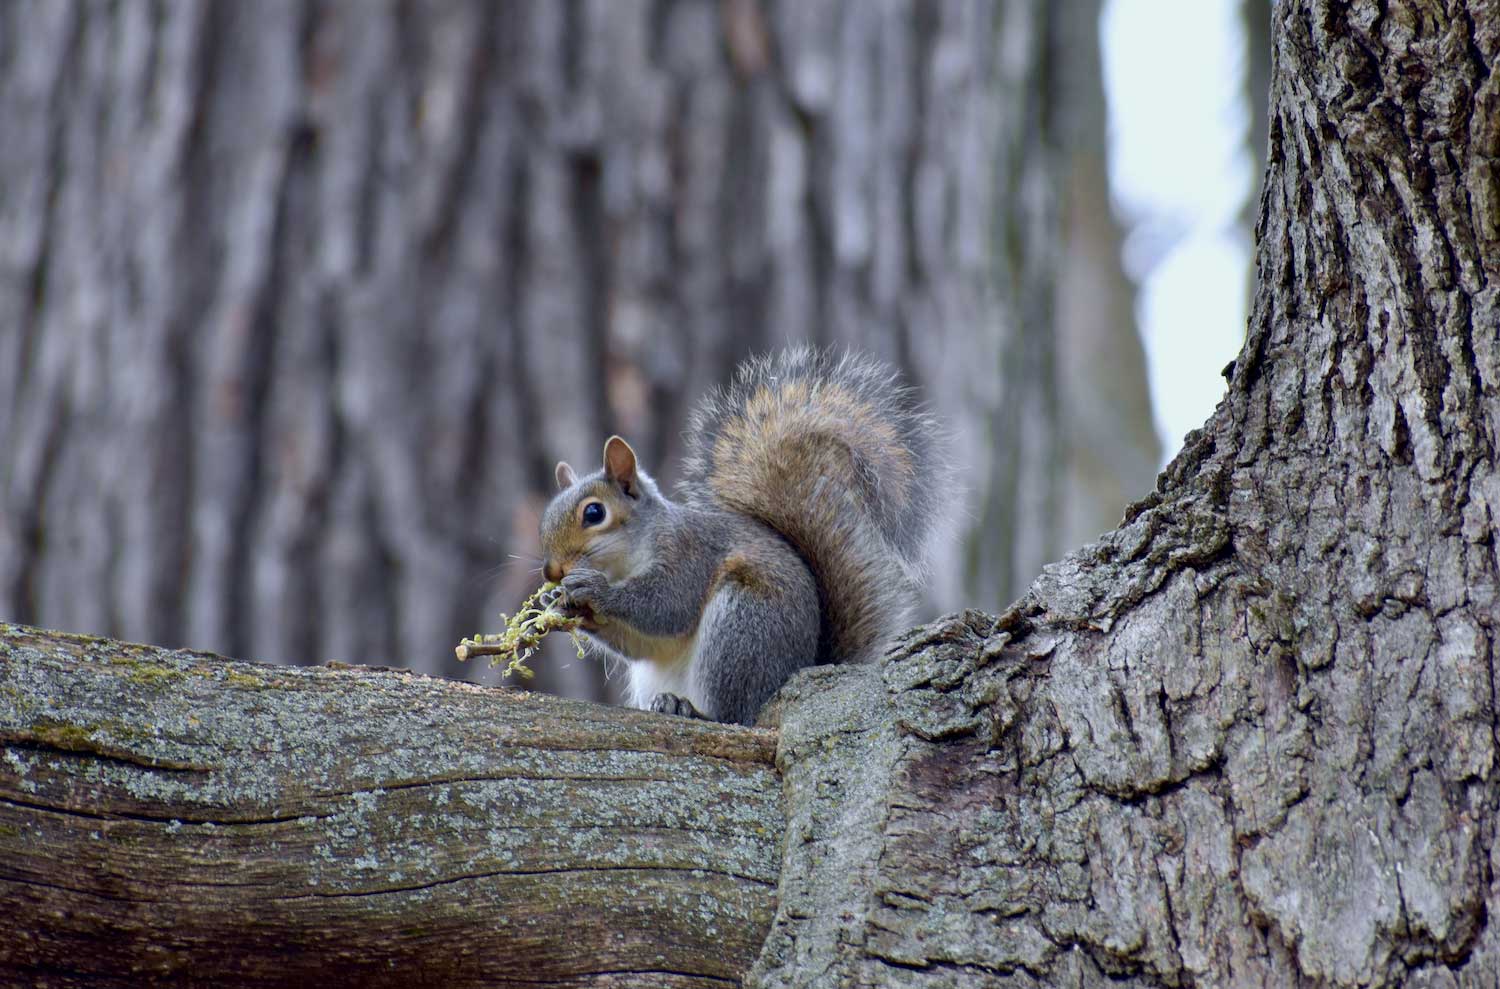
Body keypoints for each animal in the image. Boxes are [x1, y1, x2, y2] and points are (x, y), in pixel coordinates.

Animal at [537, 349, 936, 726]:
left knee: (735, 714)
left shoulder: (689, 555)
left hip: (741, 627)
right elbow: (639, 643)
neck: (627, 559)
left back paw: (695, 710)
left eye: (594, 513)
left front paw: (593, 590)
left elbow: (665, 607)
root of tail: (799, 670)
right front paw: (562, 603)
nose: (551, 573)